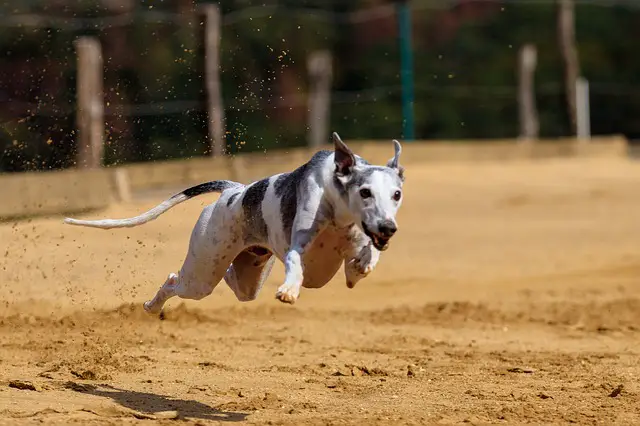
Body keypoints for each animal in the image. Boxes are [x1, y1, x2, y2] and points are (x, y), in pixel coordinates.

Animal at [63, 133, 404, 312]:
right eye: (364, 191)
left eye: (397, 194)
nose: (388, 228)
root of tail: (233, 190)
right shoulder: (298, 244)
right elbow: (296, 262)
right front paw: (289, 290)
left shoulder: (360, 241)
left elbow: (366, 256)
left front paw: (361, 266)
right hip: (201, 275)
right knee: (176, 280)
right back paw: (153, 305)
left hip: (247, 276)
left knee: (231, 280)